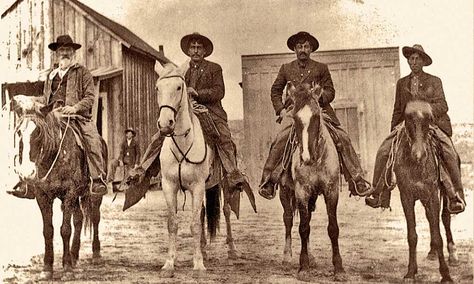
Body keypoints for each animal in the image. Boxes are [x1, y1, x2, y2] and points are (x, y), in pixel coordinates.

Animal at [11, 96, 103, 282]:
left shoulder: (69, 193)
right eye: (19, 133)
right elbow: (48, 230)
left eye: (38, 132)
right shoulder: (43, 196)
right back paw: (74, 255)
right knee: (79, 219)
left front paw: (67, 269)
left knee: (95, 218)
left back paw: (95, 254)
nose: (27, 173)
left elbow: (65, 230)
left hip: (93, 195)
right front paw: (47, 268)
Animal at [282, 82, 344, 280]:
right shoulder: (301, 192)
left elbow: (333, 228)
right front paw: (303, 267)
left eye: (316, 116)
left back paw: (312, 257)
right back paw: (287, 257)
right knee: (288, 219)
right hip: (285, 192)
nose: (306, 157)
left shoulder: (331, 191)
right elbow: (303, 228)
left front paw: (339, 268)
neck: (317, 160)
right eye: (294, 117)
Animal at [394, 101, 454, 282]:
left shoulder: (433, 196)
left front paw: (446, 274)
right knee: (430, 220)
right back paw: (432, 252)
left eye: (429, 119)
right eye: (408, 118)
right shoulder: (406, 197)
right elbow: (412, 236)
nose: (419, 155)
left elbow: (438, 236)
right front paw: (411, 272)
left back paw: (452, 254)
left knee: (445, 219)